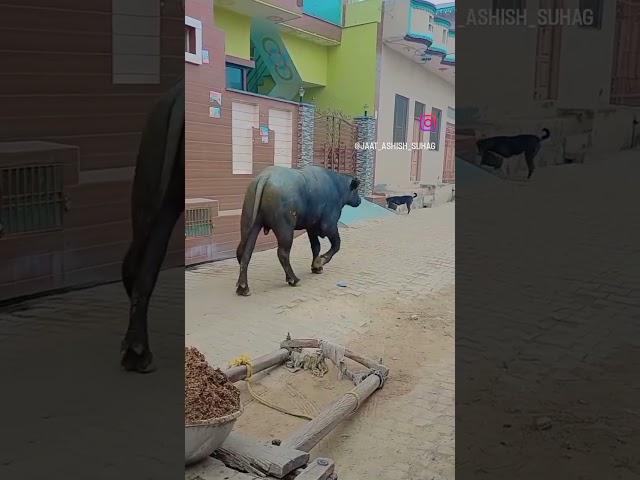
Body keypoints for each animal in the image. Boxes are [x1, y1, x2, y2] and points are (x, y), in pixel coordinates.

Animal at [238, 166, 362, 296]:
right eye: (356, 190)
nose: (359, 201)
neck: (336, 186)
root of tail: (265, 177)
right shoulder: (329, 226)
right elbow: (336, 245)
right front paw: (321, 261)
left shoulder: (311, 227)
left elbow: (316, 246)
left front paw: (316, 267)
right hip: (285, 230)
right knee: (282, 254)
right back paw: (293, 279)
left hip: (250, 226)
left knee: (245, 253)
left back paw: (243, 287)